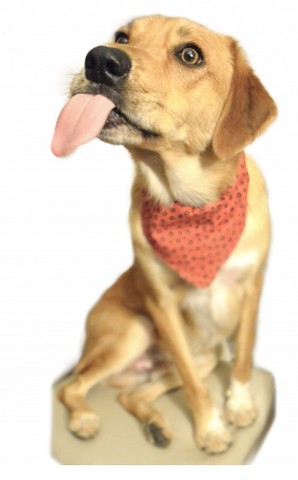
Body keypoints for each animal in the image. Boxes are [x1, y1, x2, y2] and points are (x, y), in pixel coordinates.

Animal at [53, 13, 278, 452]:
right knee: (70, 387)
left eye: (190, 55)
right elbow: (194, 386)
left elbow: (244, 355)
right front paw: (210, 428)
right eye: (122, 37)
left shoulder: (252, 288)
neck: (192, 204)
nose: (100, 60)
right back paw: (85, 418)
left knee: (130, 395)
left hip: (204, 354)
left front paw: (239, 405)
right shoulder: (162, 307)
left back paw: (156, 424)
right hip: (135, 330)